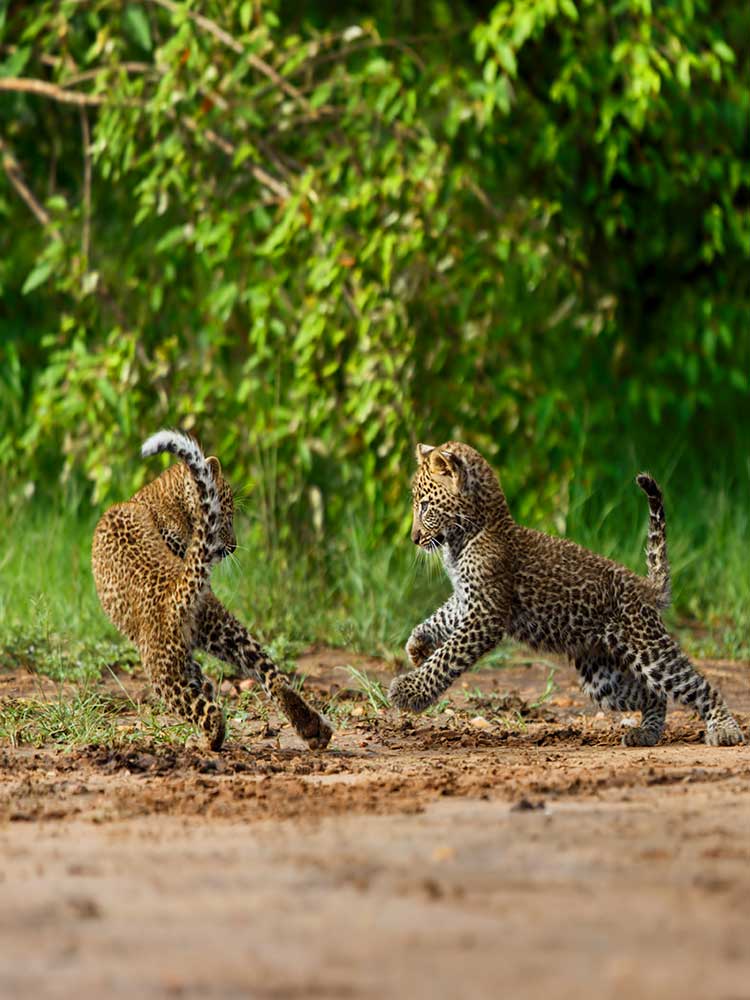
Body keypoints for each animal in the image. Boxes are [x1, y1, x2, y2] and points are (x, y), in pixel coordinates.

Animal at [91, 429, 332, 752]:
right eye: (227, 513)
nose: (233, 547)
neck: (162, 497)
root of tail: (173, 590)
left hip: (162, 668)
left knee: (203, 709)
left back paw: (209, 740)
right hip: (223, 629)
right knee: (272, 675)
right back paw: (312, 728)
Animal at [389, 441, 744, 748]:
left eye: (425, 506)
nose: (414, 538)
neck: (464, 537)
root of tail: (644, 586)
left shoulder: (485, 615)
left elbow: (445, 658)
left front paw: (409, 691)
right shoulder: (466, 601)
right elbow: (440, 618)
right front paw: (417, 645)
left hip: (648, 647)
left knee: (694, 683)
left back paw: (724, 730)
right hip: (603, 676)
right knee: (653, 695)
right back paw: (646, 734)